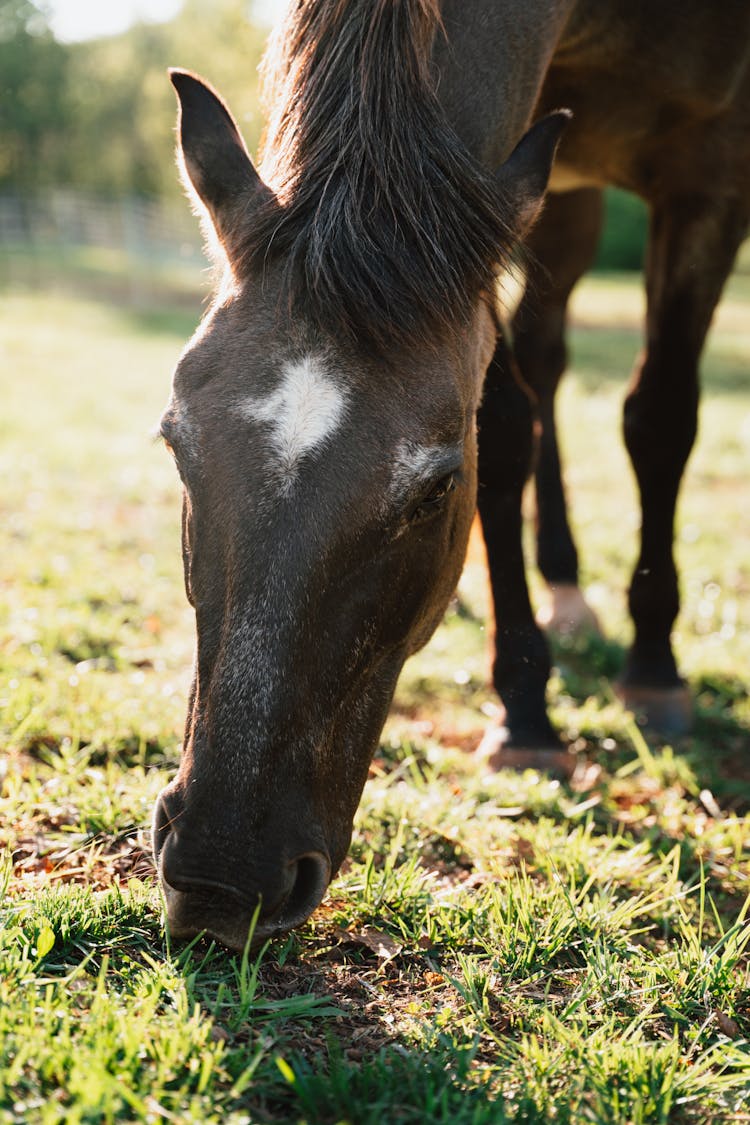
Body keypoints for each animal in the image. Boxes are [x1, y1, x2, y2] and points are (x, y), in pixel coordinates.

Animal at [154, 2, 750, 949]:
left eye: (436, 488)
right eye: (177, 442)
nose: (220, 872)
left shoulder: (712, 173)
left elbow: (659, 417)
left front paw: (654, 666)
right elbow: (506, 428)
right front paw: (526, 706)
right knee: (544, 362)